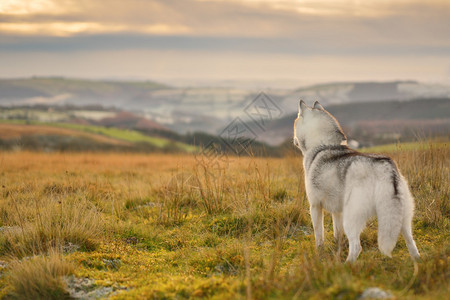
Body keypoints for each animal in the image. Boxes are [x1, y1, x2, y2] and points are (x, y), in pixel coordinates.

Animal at [294, 99, 420, 262]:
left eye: (296, 121)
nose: (294, 141)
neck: (323, 144)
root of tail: (386, 166)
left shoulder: (315, 206)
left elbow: (318, 234)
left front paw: (319, 251)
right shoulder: (337, 210)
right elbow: (337, 232)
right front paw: (337, 245)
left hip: (352, 217)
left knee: (356, 246)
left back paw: (346, 265)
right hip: (401, 218)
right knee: (411, 242)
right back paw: (417, 260)